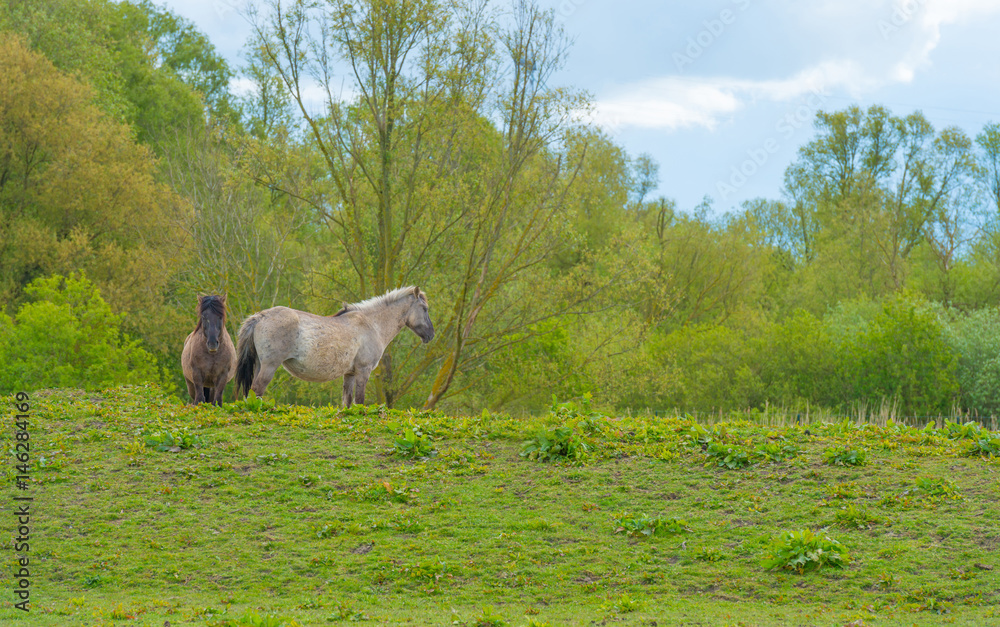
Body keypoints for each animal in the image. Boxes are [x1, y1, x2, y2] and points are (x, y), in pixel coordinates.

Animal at [234, 286, 434, 406]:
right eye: (424, 309)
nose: (431, 335)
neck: (372, 324)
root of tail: (261, 316)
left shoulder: (350, 374)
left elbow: (347, 401)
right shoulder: (363, 371)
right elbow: (359, 400)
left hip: (260, 364)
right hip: (270, 366)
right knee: (257, 389)